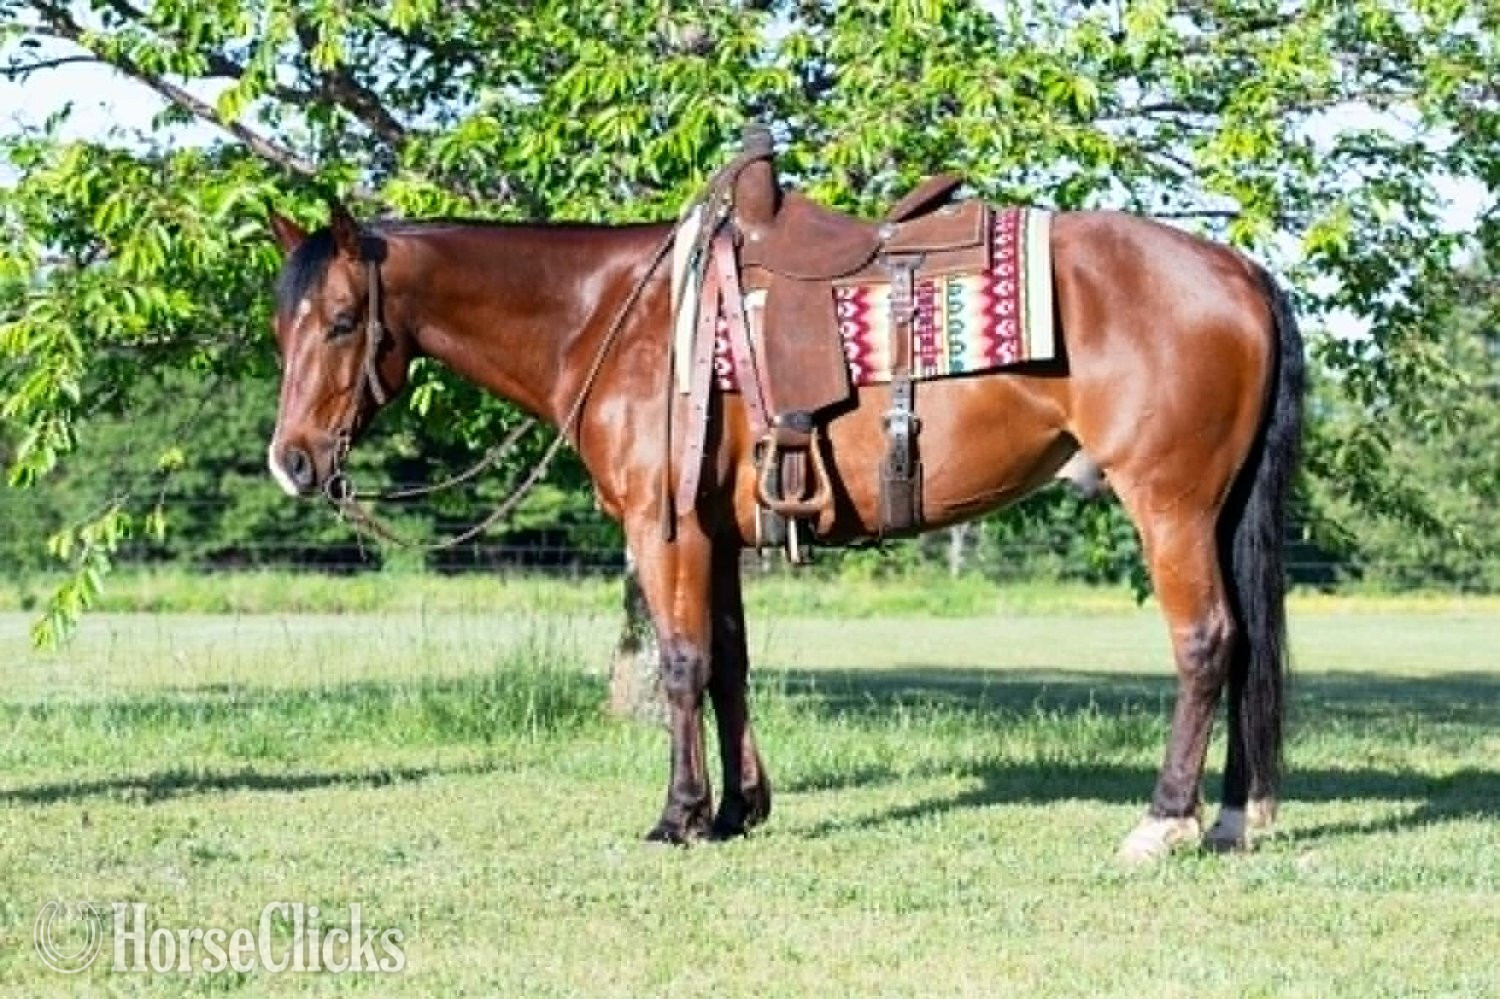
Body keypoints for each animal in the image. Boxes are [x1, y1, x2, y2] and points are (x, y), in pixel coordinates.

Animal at [263, 189, 1303, 862]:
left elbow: (681, 663)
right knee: (1247, 646)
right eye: (283, 328)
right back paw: (1235, 818)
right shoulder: (719, 536)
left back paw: (1163, 821)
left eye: (345, 319)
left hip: (1169, 504)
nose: (293, 461)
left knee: (1206, 644)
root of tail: (1241, 270)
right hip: (1215, 513)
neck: (614, 319)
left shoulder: (667, 532)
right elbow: (729, 662)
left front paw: (679, 816)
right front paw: (740, 808)